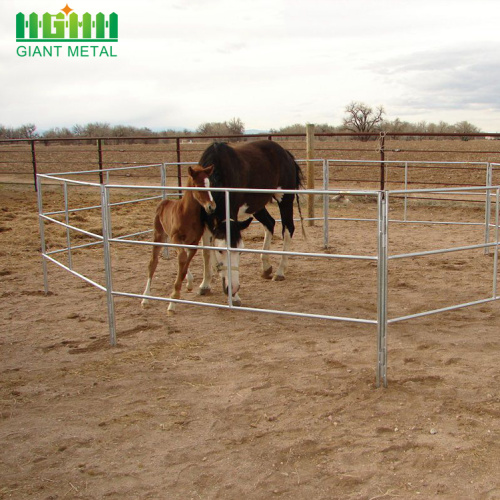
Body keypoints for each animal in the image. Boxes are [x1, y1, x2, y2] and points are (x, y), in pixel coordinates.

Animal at [143, 166, 217, 314]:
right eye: (198, 185)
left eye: (210, 184)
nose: (211, 207)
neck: (186, 213)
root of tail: (164, 201)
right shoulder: (176, 237)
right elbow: (182, 259)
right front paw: (173, 299)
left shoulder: (194, 242)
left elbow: (185, 263)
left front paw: (179, 292)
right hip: (159, 236)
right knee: (153, 263)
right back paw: (145, 298)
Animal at [197, 139, 302, 306]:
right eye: (220, 250)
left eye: (240, 251)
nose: (233, 288)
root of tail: (285, 153)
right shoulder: (206, 221)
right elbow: (206, 252)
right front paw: (205, 285)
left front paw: (235, 298)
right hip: (257, 205)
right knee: (270, 223)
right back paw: (266, 267)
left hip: (284, 199)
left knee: (287, 229)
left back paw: (279, 272)